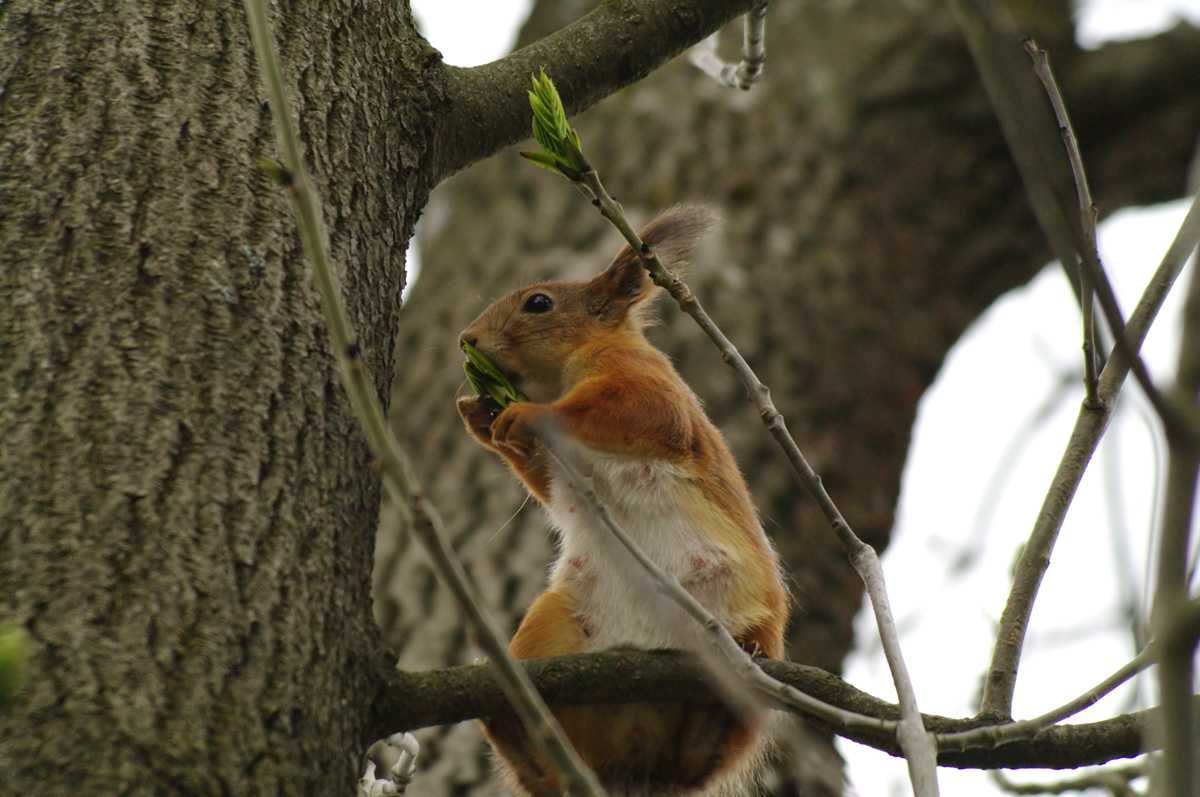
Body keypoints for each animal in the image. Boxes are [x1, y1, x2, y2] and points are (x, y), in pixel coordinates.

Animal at [456, 206, 787, 797]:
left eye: (538, 303)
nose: (465, 340)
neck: (558, 376)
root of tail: (635, 752)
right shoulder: (557, 474)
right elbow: (544, 483)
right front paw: (479, 414)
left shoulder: (642, 382)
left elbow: (633, 411)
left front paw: (526, 414)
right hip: (550, 625)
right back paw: (516, 721)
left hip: (757, 639)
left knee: (701, 756)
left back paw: (722, 699)